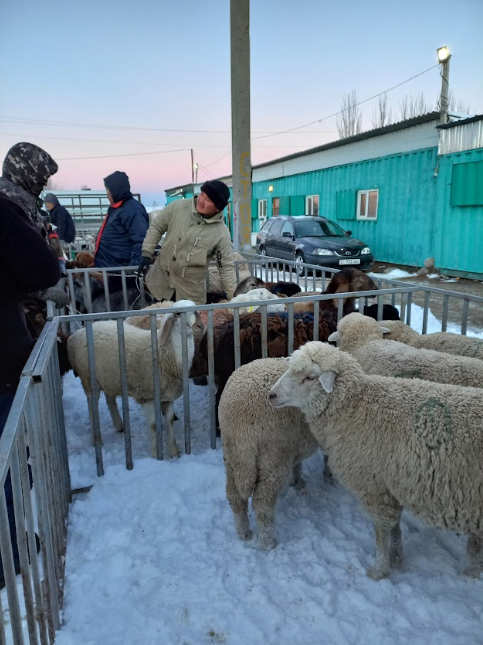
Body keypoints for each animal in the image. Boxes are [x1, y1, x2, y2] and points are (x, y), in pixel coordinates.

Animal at [67, 300, 204, 458]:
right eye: (178, 313)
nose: (200, 326)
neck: (164, 351)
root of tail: (76, 333)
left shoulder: (168, 396)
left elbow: (169, 421)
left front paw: (174, 452)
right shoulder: (146, 396)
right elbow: (153, 425)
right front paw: (155, 454)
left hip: (110, 377)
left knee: (110, 399)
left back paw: (119, 425)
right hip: (89, 380)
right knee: (92, 407)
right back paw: (97, 440)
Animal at [219, 358, 320, 549]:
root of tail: (240, 419)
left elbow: (298, 464)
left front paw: (298, 481)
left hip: (232, 456)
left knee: (235, 496)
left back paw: (243, 533)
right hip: (273, 457)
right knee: (262, 503)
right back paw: (268, 543)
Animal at [268, 341, 483, 579]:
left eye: (309, 377)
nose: (271, 395)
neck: (356, 407)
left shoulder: (374, 487)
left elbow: (381, 530)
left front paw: (380, 570)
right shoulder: (390, 486)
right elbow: (395, 527)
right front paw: (397, 557)